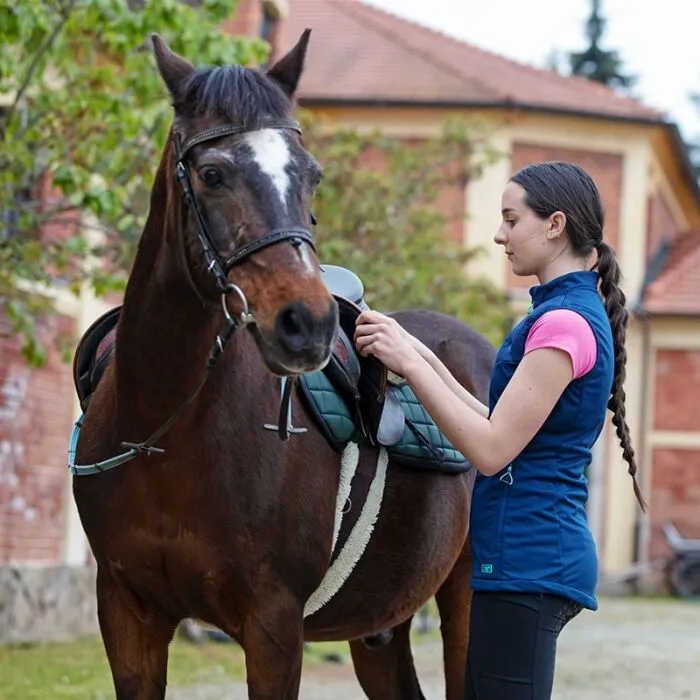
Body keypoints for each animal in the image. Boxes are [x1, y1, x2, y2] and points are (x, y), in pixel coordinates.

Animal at [72, 30, 498, 696]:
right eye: (213, 173)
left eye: (311, 175)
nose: (309, 322)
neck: (161, 435)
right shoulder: (126, 613)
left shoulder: (272, 626)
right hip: (381, 629)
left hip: (468, 603)